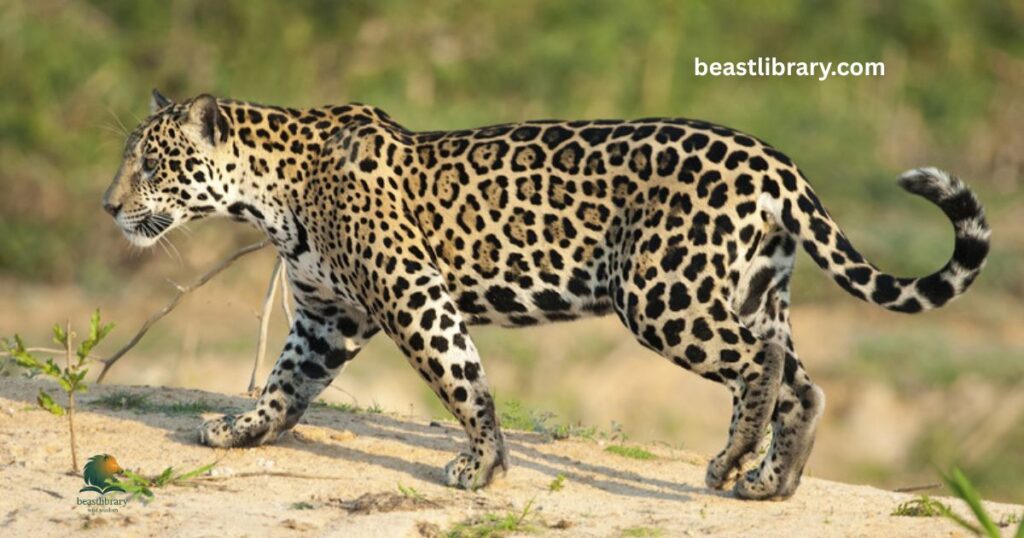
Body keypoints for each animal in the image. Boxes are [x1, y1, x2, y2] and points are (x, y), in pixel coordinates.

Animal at [102, 90, 990, 500]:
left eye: (149, 164)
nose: (107, 207)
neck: (271, 190)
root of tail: (774, 160)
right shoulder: (327, 316)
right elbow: (287, 385)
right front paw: (240, 430)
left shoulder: (412, 294)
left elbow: (460, 377)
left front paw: (481, 465)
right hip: (749, 288)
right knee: (804, 382)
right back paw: (773, 480)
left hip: (663, 295)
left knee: (759, 365)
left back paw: (732, 460)